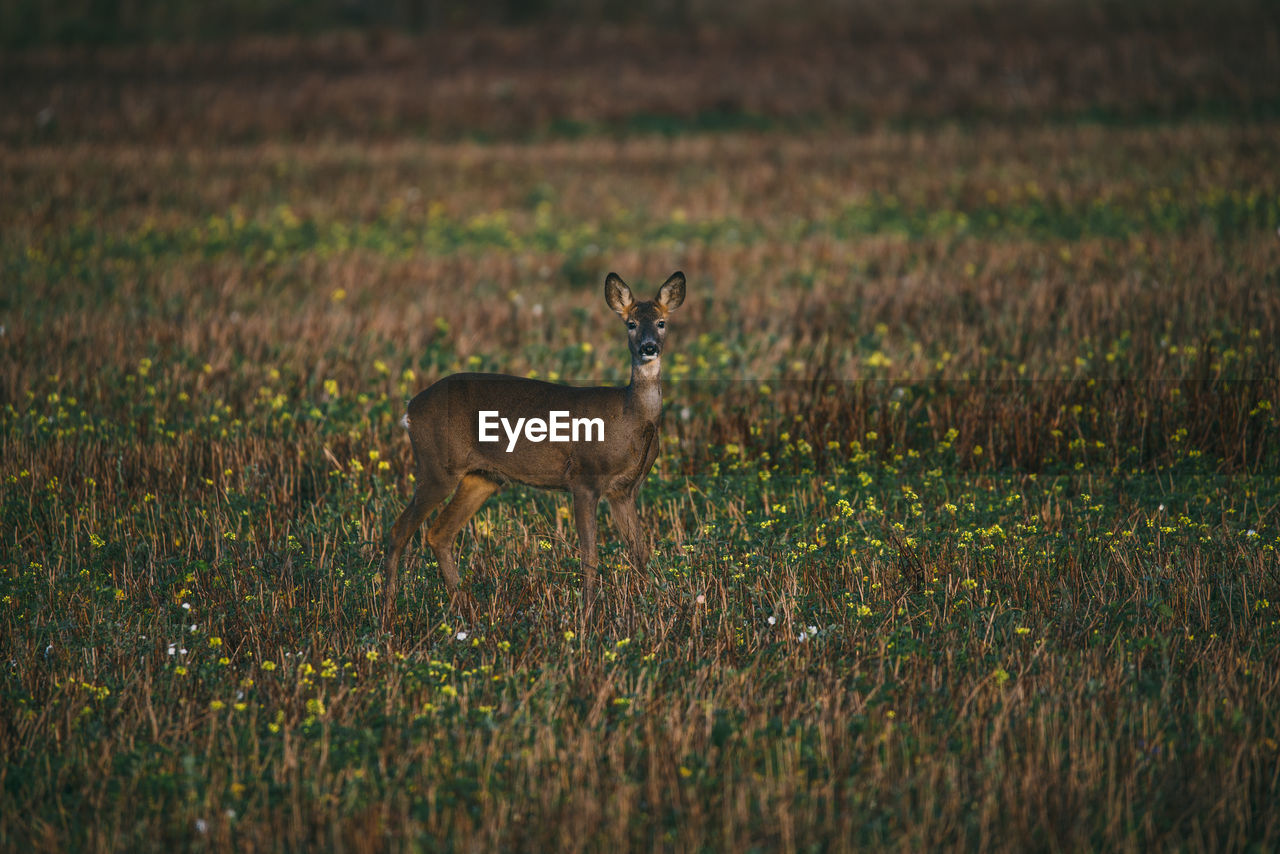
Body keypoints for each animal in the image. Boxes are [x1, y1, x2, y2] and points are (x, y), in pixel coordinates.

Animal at [381, 270, 691, 612]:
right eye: (631, 323)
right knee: (399, 530)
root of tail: (411, 408)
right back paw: (388, 610)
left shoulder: (625, 490)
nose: (648, 348)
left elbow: (640, 552)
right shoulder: (584, 478)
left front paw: (651, 603)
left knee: (439, 534)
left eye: (661, 322)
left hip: (482, 477)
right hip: (437, 466)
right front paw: (587, 614)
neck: (632, 417)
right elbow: (589, 556)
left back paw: (464, 607)